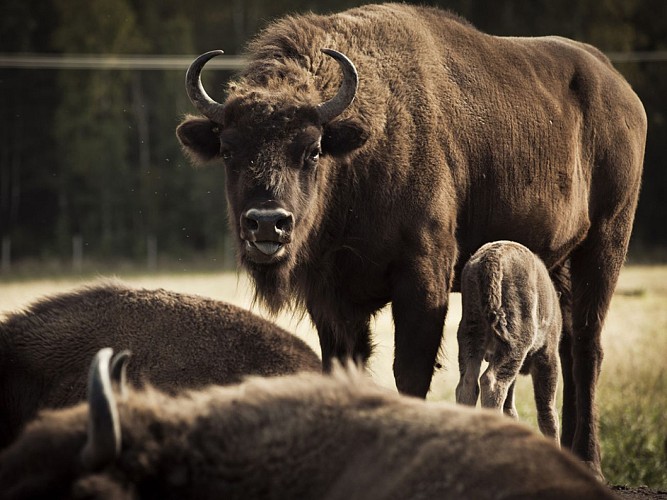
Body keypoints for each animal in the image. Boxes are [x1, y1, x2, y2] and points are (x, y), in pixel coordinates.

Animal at [176, 3, 646, 476]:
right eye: (229, 150)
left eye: (312, 150)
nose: (267, 224)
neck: (361, 151)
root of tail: (623, 92)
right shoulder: (330, 298)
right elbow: (342, 367)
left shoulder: (422, 281)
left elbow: (411, 372)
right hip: (560, 266)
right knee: (564, 347)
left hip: (606, 244)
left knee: (586, 347)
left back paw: (589, 460)